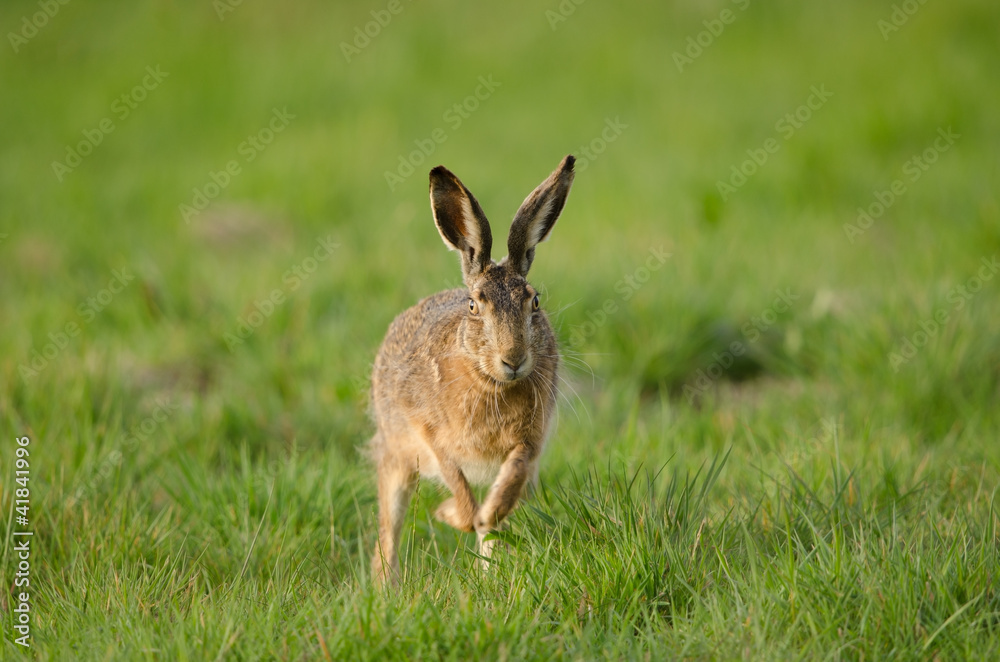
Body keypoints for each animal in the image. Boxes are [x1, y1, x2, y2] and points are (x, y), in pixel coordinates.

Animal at [369, 155, 576, 585]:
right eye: (473, 305)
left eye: (535, 301)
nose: (513, 359)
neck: (490, 381)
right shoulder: (433, 438)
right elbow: (459, 492)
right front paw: (448, 513)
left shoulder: (529, 441)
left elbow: (506, 487)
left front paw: (486, 516)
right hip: (396, 455)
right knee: (389, 528)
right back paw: (384, 588)